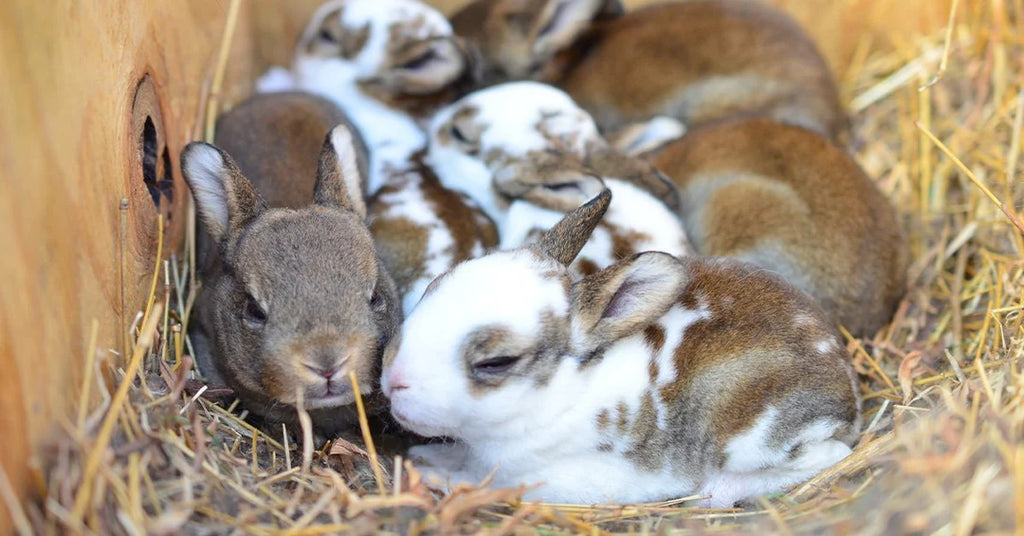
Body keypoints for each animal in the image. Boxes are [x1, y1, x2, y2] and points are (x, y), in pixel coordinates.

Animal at [380, 190, 863, 507]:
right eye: (434, 286)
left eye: (496, 362)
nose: (393, 379)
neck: (563, 393)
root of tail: (848, 390)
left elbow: (484, 483)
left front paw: (433, 472)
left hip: (754, 437)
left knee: (830, 456)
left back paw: (715, 491)